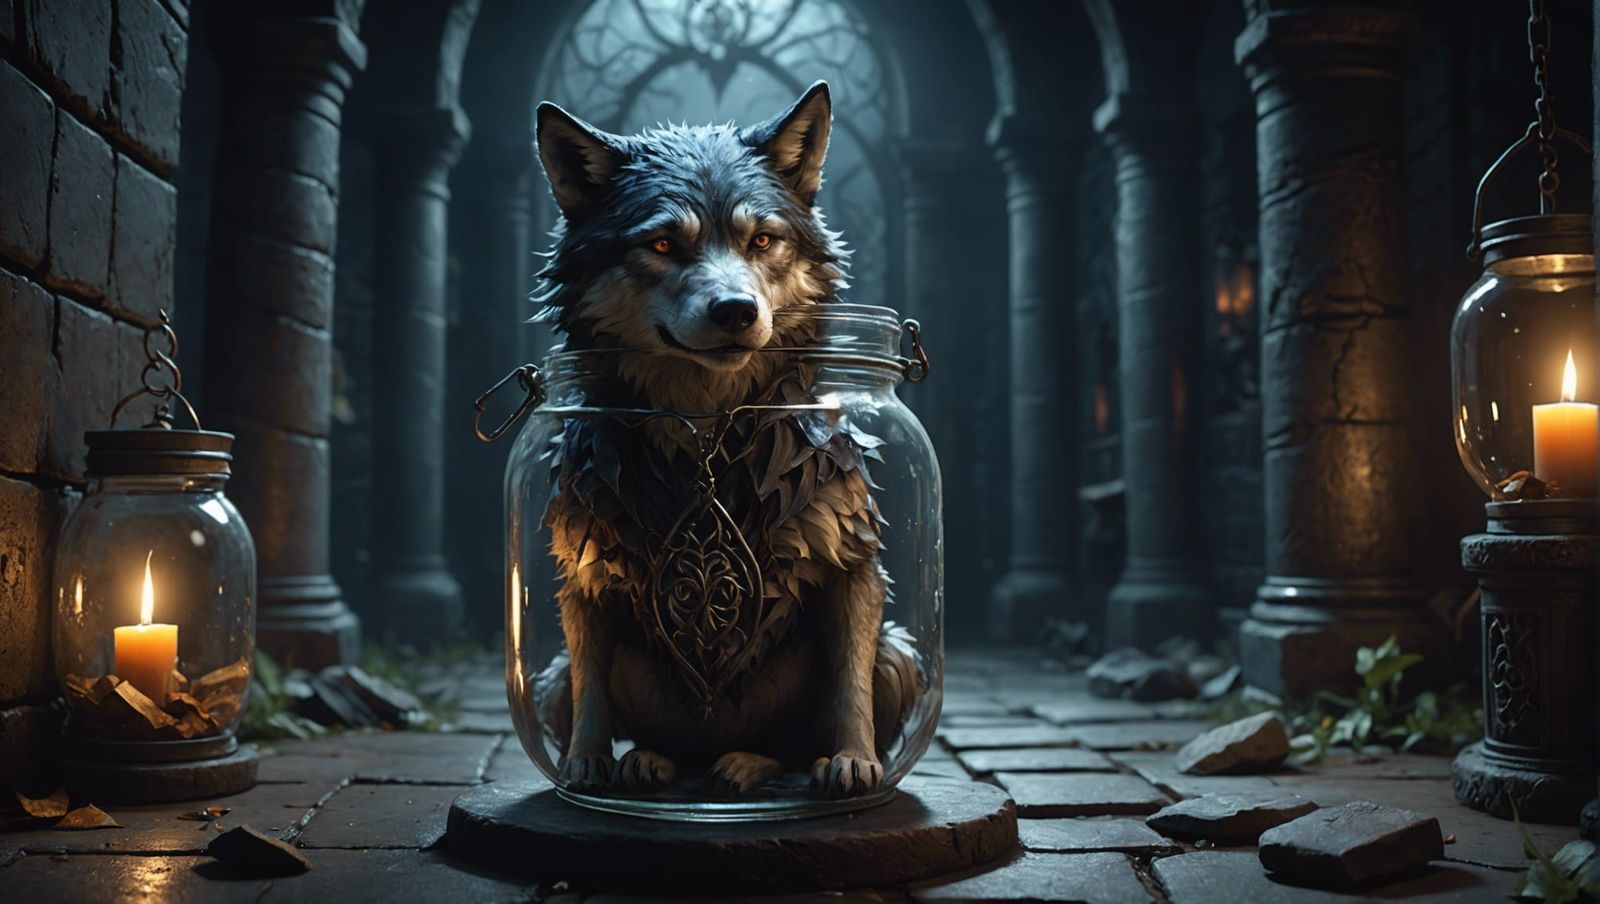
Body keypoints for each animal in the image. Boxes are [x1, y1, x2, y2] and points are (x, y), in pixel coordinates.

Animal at [528, 81, 922, 799]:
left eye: (761, 239)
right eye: (662, 246)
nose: (737, 311)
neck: (706, 428)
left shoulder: (852, 565)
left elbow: (848, 687)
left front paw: (854, 761)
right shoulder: (586, 575)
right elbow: (591, 689)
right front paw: (585, 764)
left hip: (899, 653)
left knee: (790, 746)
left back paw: (748, 764)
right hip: (548, 682)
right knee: (628, 721)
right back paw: (650, 760)